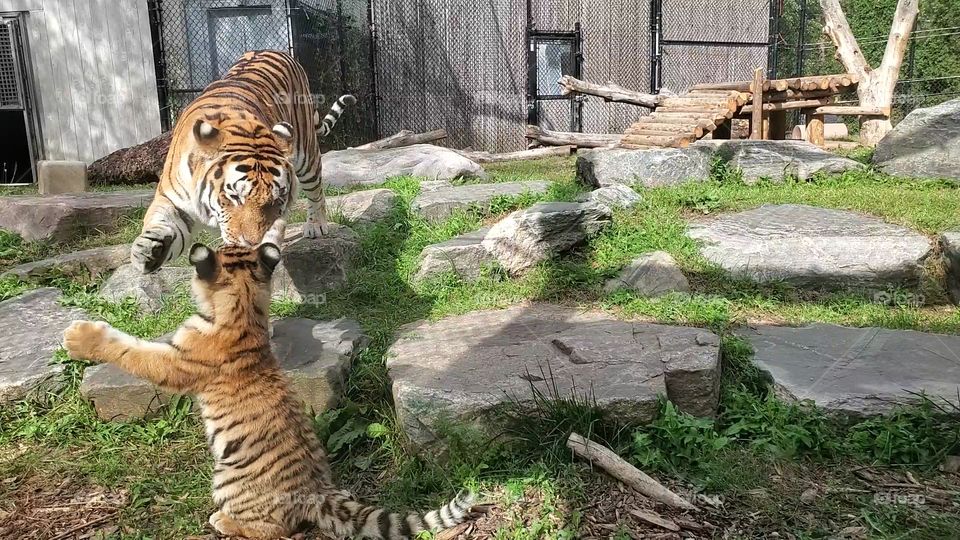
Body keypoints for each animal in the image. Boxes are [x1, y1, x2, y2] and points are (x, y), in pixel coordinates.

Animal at [63, 242, 476, 539]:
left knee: (273, 530)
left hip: (227, 477)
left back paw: (222, 521)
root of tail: (317, 492)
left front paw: (80, 336)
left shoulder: (175, 361)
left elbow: (132, 350)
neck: (245, 304)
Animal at [131, 49, 356, 274]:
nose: (252, 243)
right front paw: (148, 250)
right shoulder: (173, 201)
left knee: (316, 189)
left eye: (277, 200)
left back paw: (316, 225)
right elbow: (160, 221)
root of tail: (276, 51)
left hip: (306, 152)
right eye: (234, 196)